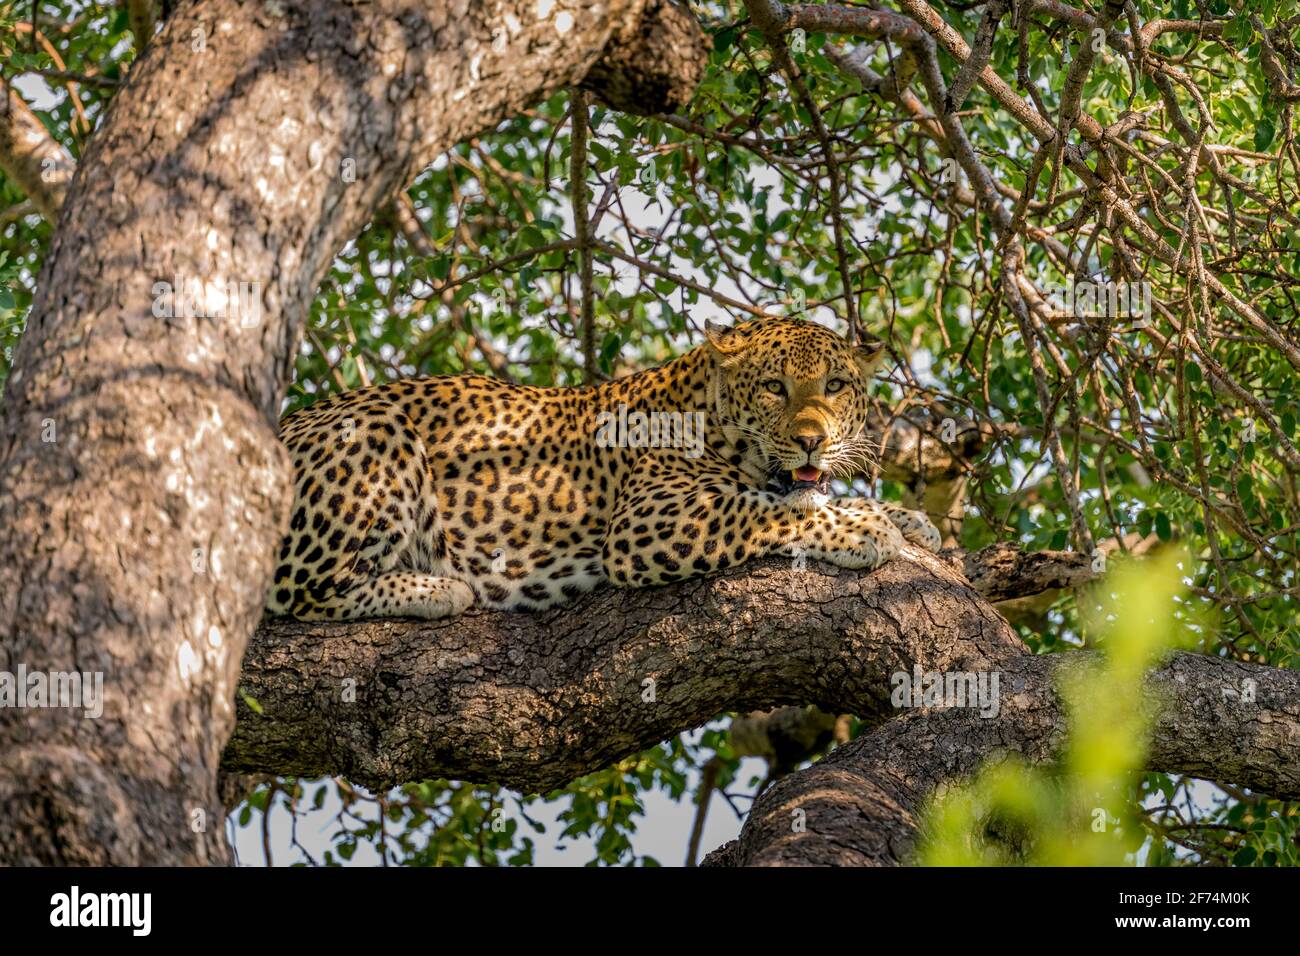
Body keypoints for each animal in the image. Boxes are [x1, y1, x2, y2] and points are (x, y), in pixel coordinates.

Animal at [265, 317, 942, 621]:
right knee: (301, 591)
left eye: (835, 386)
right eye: (775, 387)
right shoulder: (650, 520)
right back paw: (437, 588)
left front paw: (908, 519)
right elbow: (765, 509)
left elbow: (808, 497)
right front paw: (866, 530)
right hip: (375, 427)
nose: (810, 441)